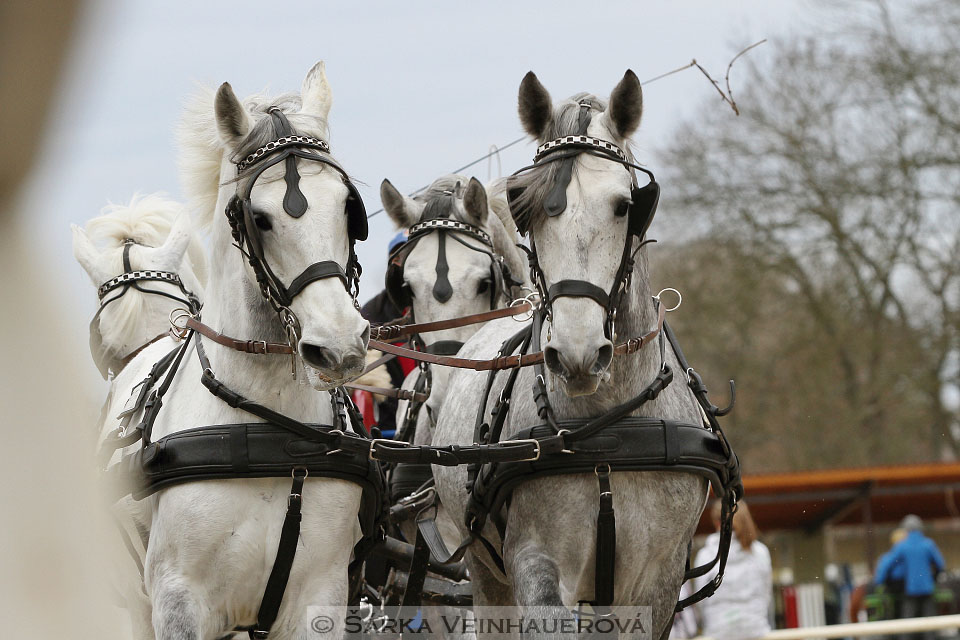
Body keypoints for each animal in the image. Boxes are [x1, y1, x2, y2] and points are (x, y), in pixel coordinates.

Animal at [94, 61, 372, 640]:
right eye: (258, 218)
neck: (271, 428)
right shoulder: (178, 601)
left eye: (347, 208)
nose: (339, 345)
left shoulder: (321, 596)